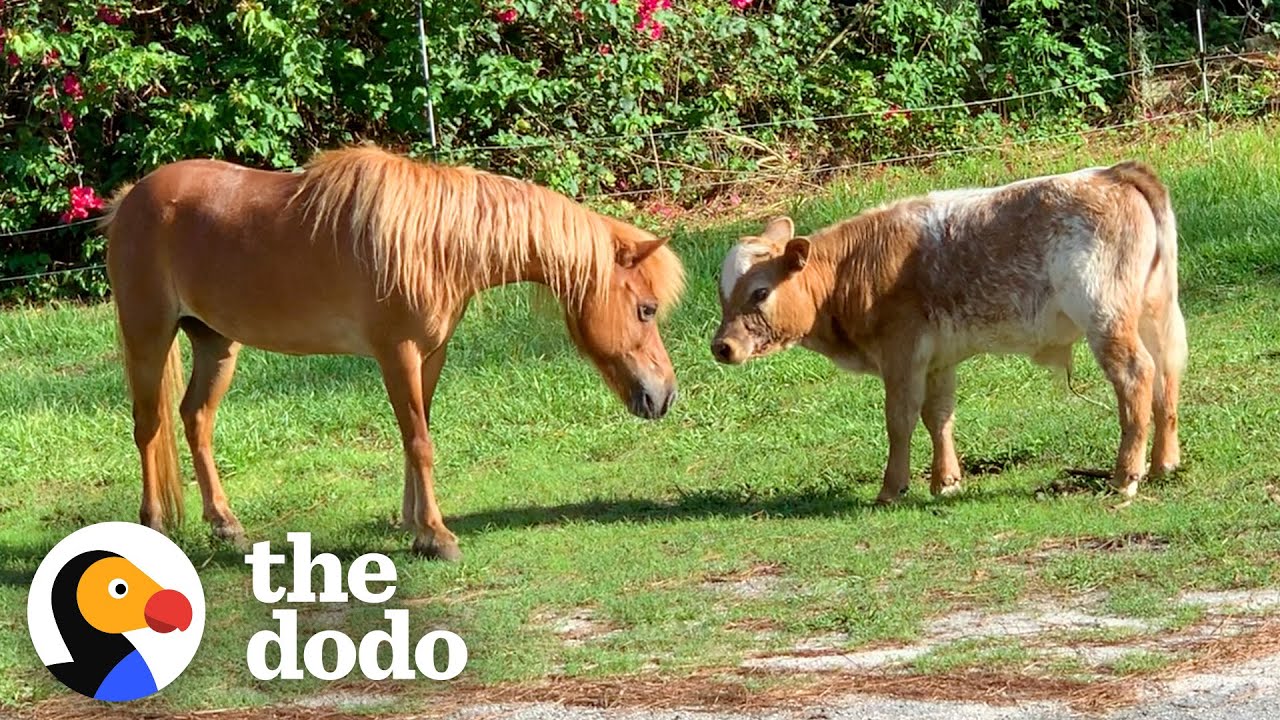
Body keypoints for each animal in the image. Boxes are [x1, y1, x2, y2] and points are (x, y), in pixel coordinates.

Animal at [101, 146, 686, 558]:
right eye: (647, 309)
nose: (665, 395)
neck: (433, 242)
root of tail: (130, 198)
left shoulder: (430, 355)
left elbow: (416, 435)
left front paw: (416, 527)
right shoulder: (397, 354)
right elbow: (420, 441)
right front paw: (439, 535)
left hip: (216, 343)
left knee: (195, 418)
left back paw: (227, 526)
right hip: (149, 335)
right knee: (148, 426)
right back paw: (154, 523)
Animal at [716, 161, 1182, 499]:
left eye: (759, 292)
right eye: (722, 296)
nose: (722, 347)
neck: (854, 268)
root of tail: (1112, 173)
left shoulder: (901, 353)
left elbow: (900, 418)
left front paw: (892, 489)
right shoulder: (938, 360)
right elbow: (938, 416)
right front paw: (946, 482)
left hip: (1105, 317)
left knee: (1136, 375)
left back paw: (1125, 476)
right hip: (1155, 312)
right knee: (1167, 374)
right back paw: (1164, 463)